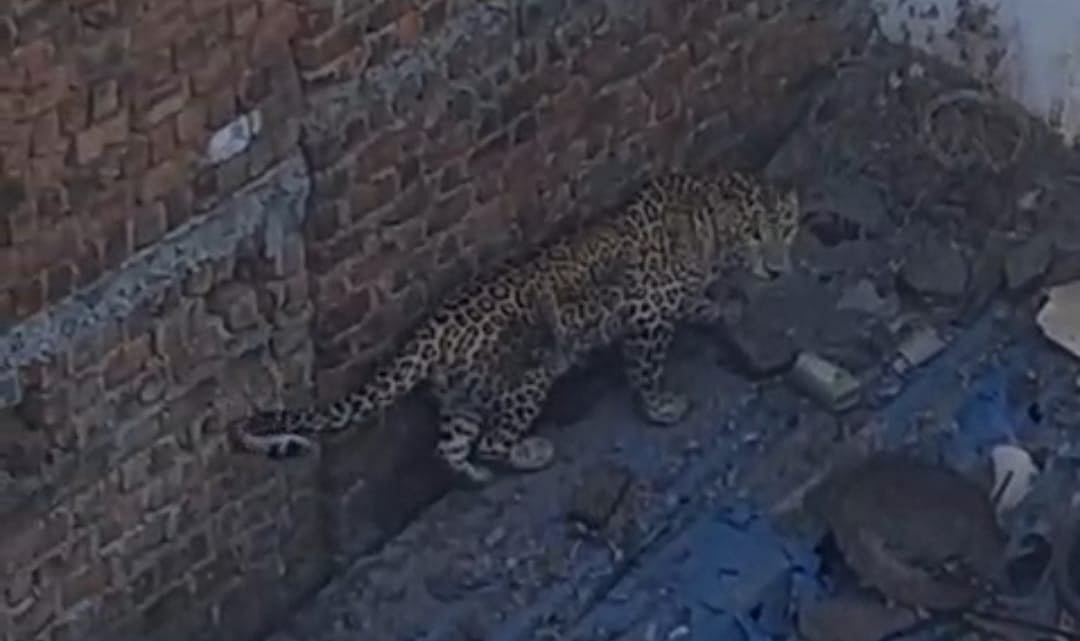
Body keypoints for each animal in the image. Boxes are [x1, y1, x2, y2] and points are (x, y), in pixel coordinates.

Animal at [230, 169, 801, 485]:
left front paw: (724, 308)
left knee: (452, 447)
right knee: (492, 440)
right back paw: (531, 454)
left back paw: (477, 479)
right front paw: (662, 408)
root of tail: (430, 332)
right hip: (527, 378)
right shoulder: (646, 316)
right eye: (754, 233)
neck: (705, 221)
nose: (778, 269)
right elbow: (647, 368)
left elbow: (700, 304)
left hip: (463, 392)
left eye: (786, 228)